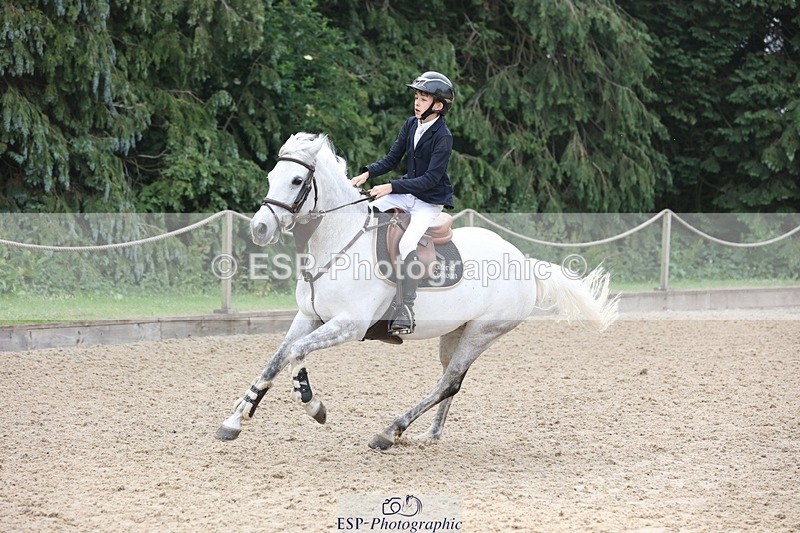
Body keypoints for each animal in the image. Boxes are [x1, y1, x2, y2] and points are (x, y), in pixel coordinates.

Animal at [215, 133, 619, 450]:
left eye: (298, 180)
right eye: (272, 176)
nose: (260, 229)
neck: (337, 243)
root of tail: (524, 261)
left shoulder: (350, 324)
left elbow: (296, 353)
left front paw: (312, 404)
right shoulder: (310, 316)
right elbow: (278, 358)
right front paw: (235, 420)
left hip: (483, 331)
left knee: (450, 382)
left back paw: (389, 432)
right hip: (456, 332)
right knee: (449, 381)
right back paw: (429, 434)